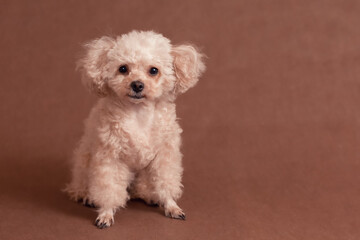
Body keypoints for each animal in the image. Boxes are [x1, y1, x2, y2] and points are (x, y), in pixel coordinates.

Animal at [64, 30, 205, 229]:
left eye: (153, 70)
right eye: (123, 69)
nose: (137, 85)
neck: (139, 113)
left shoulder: (164, 156)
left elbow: (166, 181)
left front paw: (171, 205)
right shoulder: (110, 158)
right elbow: (108, 189)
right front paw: (106, 213)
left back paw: (148, 196)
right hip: (85, 163)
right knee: (82, 183)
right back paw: (86, 196)